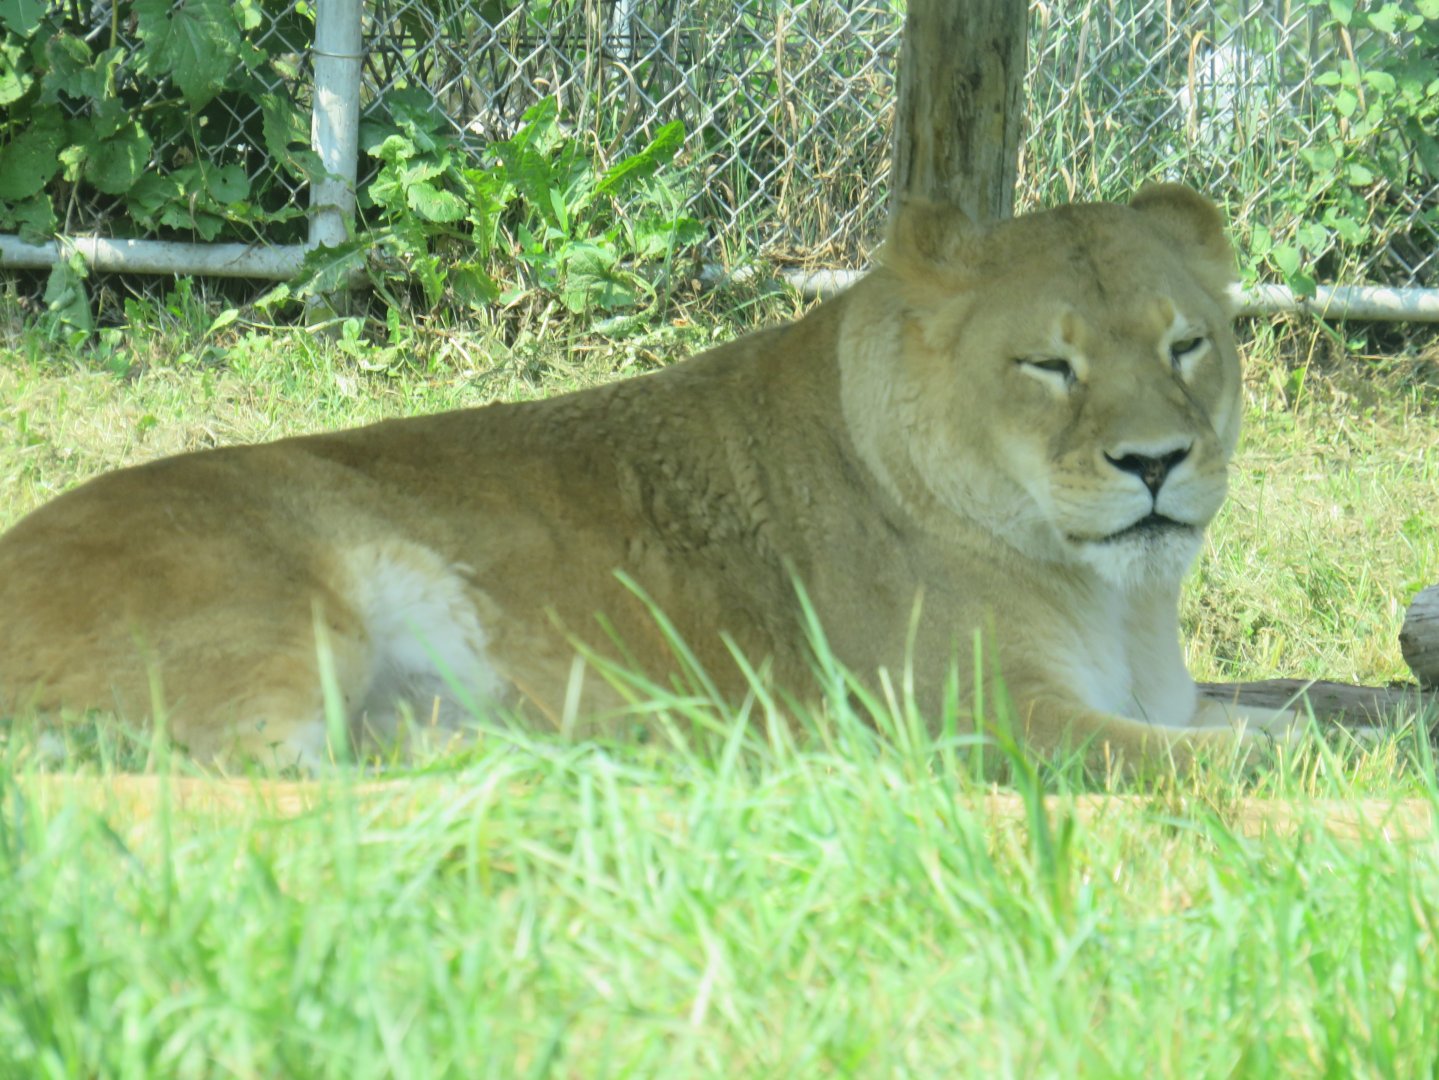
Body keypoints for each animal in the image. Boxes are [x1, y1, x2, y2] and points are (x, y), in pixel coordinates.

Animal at [0, 184, 1300, 768]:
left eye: (1185, 345)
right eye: (1047, 364)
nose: (1154, 463)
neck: (1119, 599)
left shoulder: (1159, 692)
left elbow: (1266, 714)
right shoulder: (967, 721)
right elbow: (1208, 758)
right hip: (293, 621)